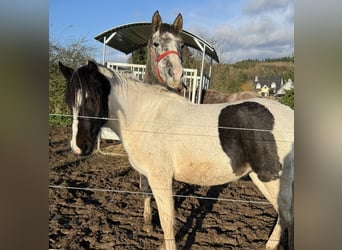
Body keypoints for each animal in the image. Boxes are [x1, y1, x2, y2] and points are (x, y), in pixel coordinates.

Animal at [58, 61, 294, 250]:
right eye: (70, 102)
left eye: (92, 98)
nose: (79, 147)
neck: (145, 117)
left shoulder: (160, 179)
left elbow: (167, 220)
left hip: (271, 179)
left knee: (286, 215)